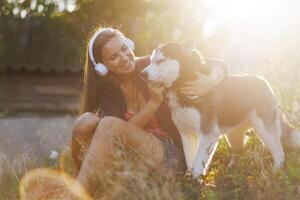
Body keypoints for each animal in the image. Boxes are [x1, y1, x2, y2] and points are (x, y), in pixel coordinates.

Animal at [141, 39, 300, 178]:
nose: (142, 73)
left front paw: (194, 181)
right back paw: (233, 169)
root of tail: (263, 80)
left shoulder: (208, 134)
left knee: (279, 152)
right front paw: (188, 177)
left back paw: (276, 171)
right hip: (233, 134)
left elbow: (198, 162)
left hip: (264, 129)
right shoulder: (186, 134)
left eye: (161, 61)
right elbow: (190, 160)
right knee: (240, 151)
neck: (182, 84)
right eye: (151, 60)